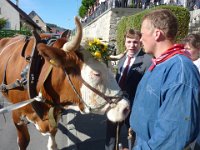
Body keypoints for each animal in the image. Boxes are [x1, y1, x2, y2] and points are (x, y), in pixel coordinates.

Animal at [0, 16, 130, 150]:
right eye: (96, 73)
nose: (126, 108)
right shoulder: (17, 116)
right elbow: (23, 141)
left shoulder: (54, 114)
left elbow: (53, 135)